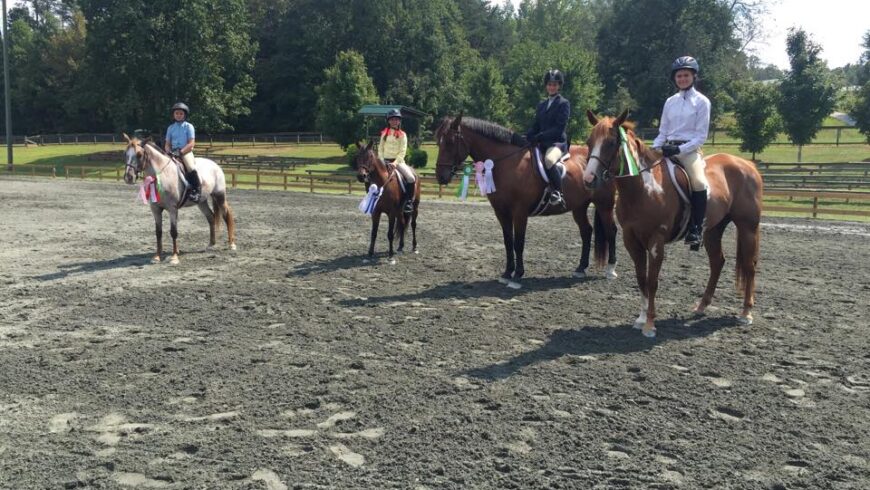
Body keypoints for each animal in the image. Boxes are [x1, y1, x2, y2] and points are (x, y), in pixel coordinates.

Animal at [122, 134, 237, 264]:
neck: (162, 176)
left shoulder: (172, 209)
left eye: (139, 154)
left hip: (219, 195)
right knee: (211, 217)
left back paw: (231, 244)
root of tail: (215, 164)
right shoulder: (155, 209)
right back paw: (211, 244)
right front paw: (157, 256)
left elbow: (173, 232)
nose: (128, 177)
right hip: (201, 201)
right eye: (125, 154)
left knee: (226, 215)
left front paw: (174, 257)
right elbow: (158, 232)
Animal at [436, 115, 620, 290]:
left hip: (604, 205)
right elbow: (508, 242)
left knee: (611, 231)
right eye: (438, 141)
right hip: (579, 207)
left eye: (450, 142)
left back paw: (610, 270)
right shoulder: (501, 212)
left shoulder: (520, 212)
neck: (508, 163)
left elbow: (518, 243)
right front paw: (507, 273)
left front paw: (517, 276)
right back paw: (581, 268)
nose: (440, 176)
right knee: (586, 231)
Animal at [584, 109, 764, 336]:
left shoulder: (656, 240)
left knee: (749, 265)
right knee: (717, 262)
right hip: (713, 230)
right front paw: (641, 318)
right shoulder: (631, 238)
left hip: (748, 227)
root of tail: (748, 164)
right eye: (589, 142)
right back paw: (701, 306)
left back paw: (746, 313)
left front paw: (650, 324)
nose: (589, 179)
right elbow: (641, 278)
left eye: (610, 143)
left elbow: (652, 281)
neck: (644, 188)